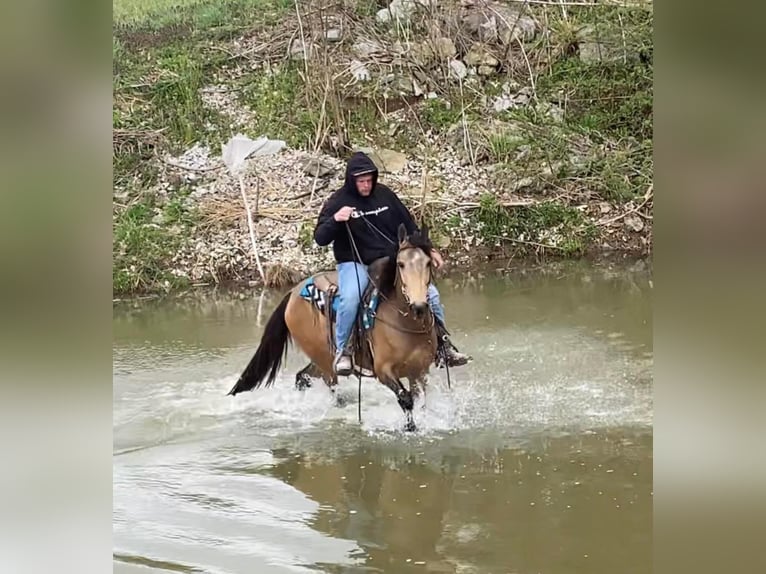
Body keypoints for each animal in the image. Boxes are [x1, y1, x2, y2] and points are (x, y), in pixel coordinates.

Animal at [228, 225, 438, 432]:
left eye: (428, 263)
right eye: (401, 264)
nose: (419, 306)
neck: (404, 322)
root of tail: (293, 293)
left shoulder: (420, 371)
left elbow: (421, 400)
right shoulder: (383, 371)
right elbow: (406, 399)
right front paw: (410, 428)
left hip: (321, 359)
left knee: (302, 377)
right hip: (324, 361)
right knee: (328, 385)